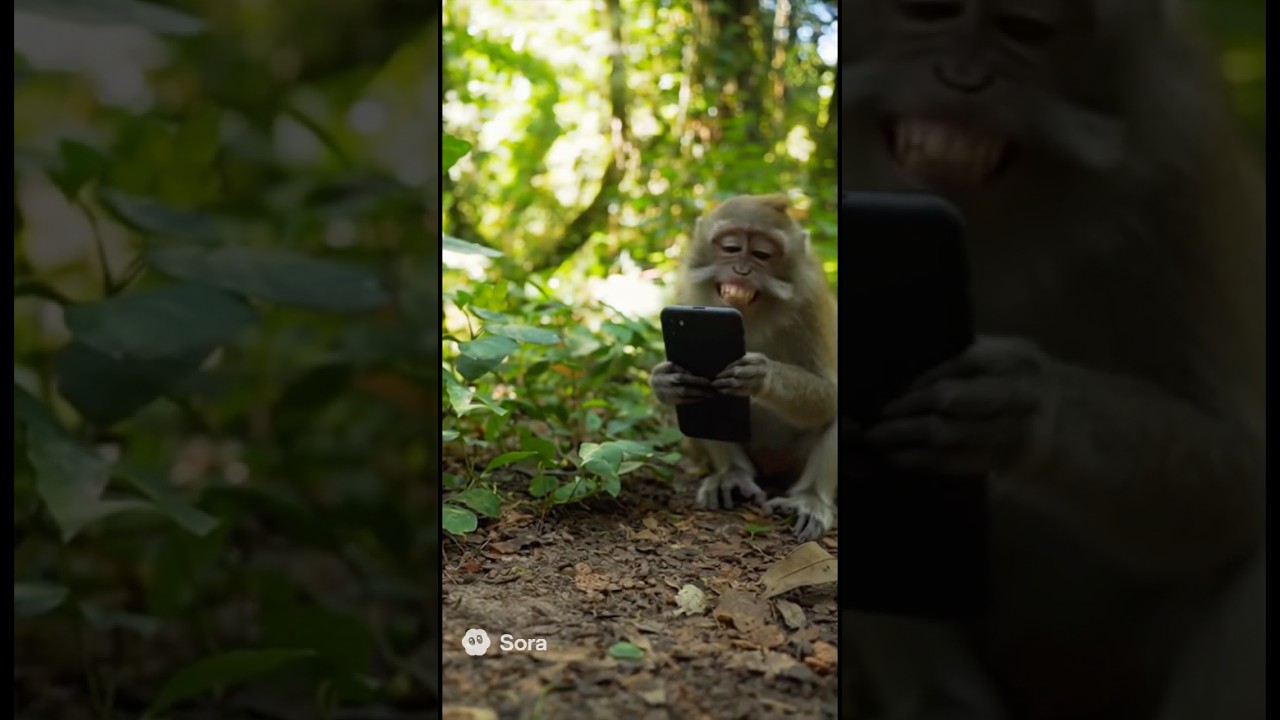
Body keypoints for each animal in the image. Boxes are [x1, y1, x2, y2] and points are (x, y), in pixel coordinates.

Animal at [650, 194, 840, 542]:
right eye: (731, 247)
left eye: (762, 254)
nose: (741, 270)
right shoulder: (686, 292)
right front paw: (664, 381)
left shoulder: (811, 300)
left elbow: (830, 396)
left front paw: (761, 376)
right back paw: (732, 474)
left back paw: (809, 498)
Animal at [840, 1, 1265, 719]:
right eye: (928, 12)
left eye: (1026, 30)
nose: (961, 79)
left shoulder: (1183, 160)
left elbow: (1244, 474)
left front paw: (1023, 410)